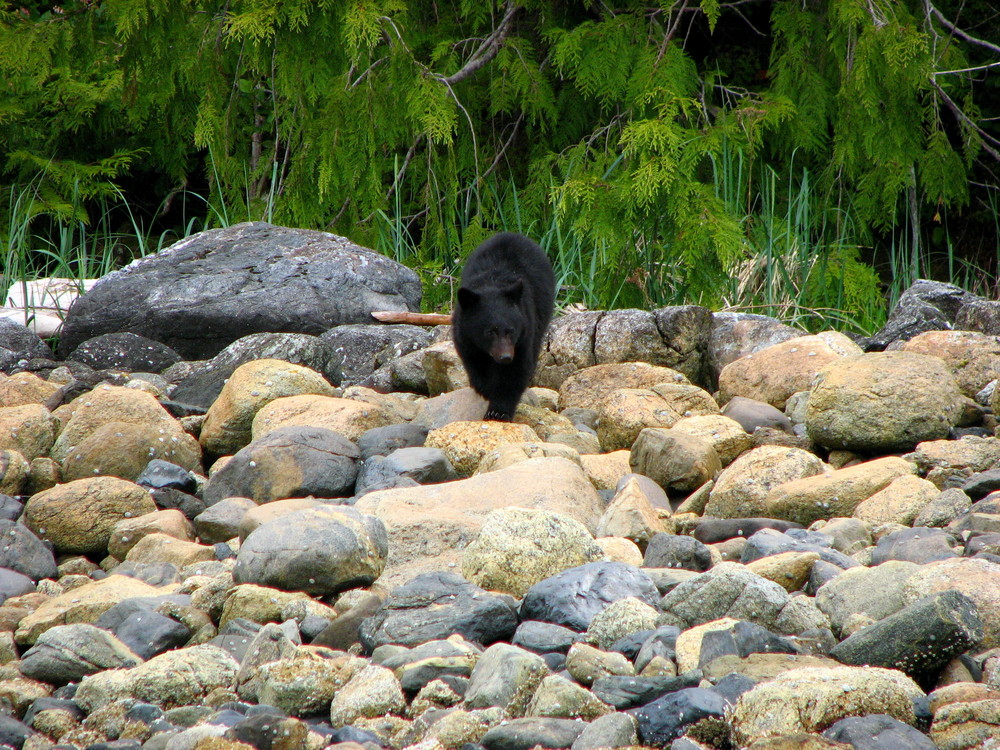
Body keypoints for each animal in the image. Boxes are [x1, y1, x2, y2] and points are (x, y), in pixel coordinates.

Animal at [452, 234, 556, 424]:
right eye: (489, 332)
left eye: (511, 330)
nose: (506, 357)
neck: (492, 284)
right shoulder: (465, 337)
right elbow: (475, 364)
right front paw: (486, 388)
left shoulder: (524, 334)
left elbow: (516, 371)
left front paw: (498, 411)